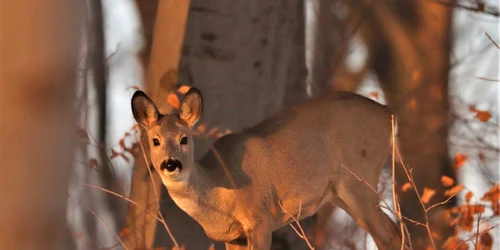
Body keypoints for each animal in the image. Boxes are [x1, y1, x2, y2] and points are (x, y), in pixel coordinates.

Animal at [131, 87, 400, 248]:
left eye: (184, 139)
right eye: (155, 140)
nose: (170, 163)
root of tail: (387, 112)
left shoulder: (260, 220)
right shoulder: (234, 237)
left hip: (360, 177)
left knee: (386, 237)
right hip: (339, 194)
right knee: (393, 231)